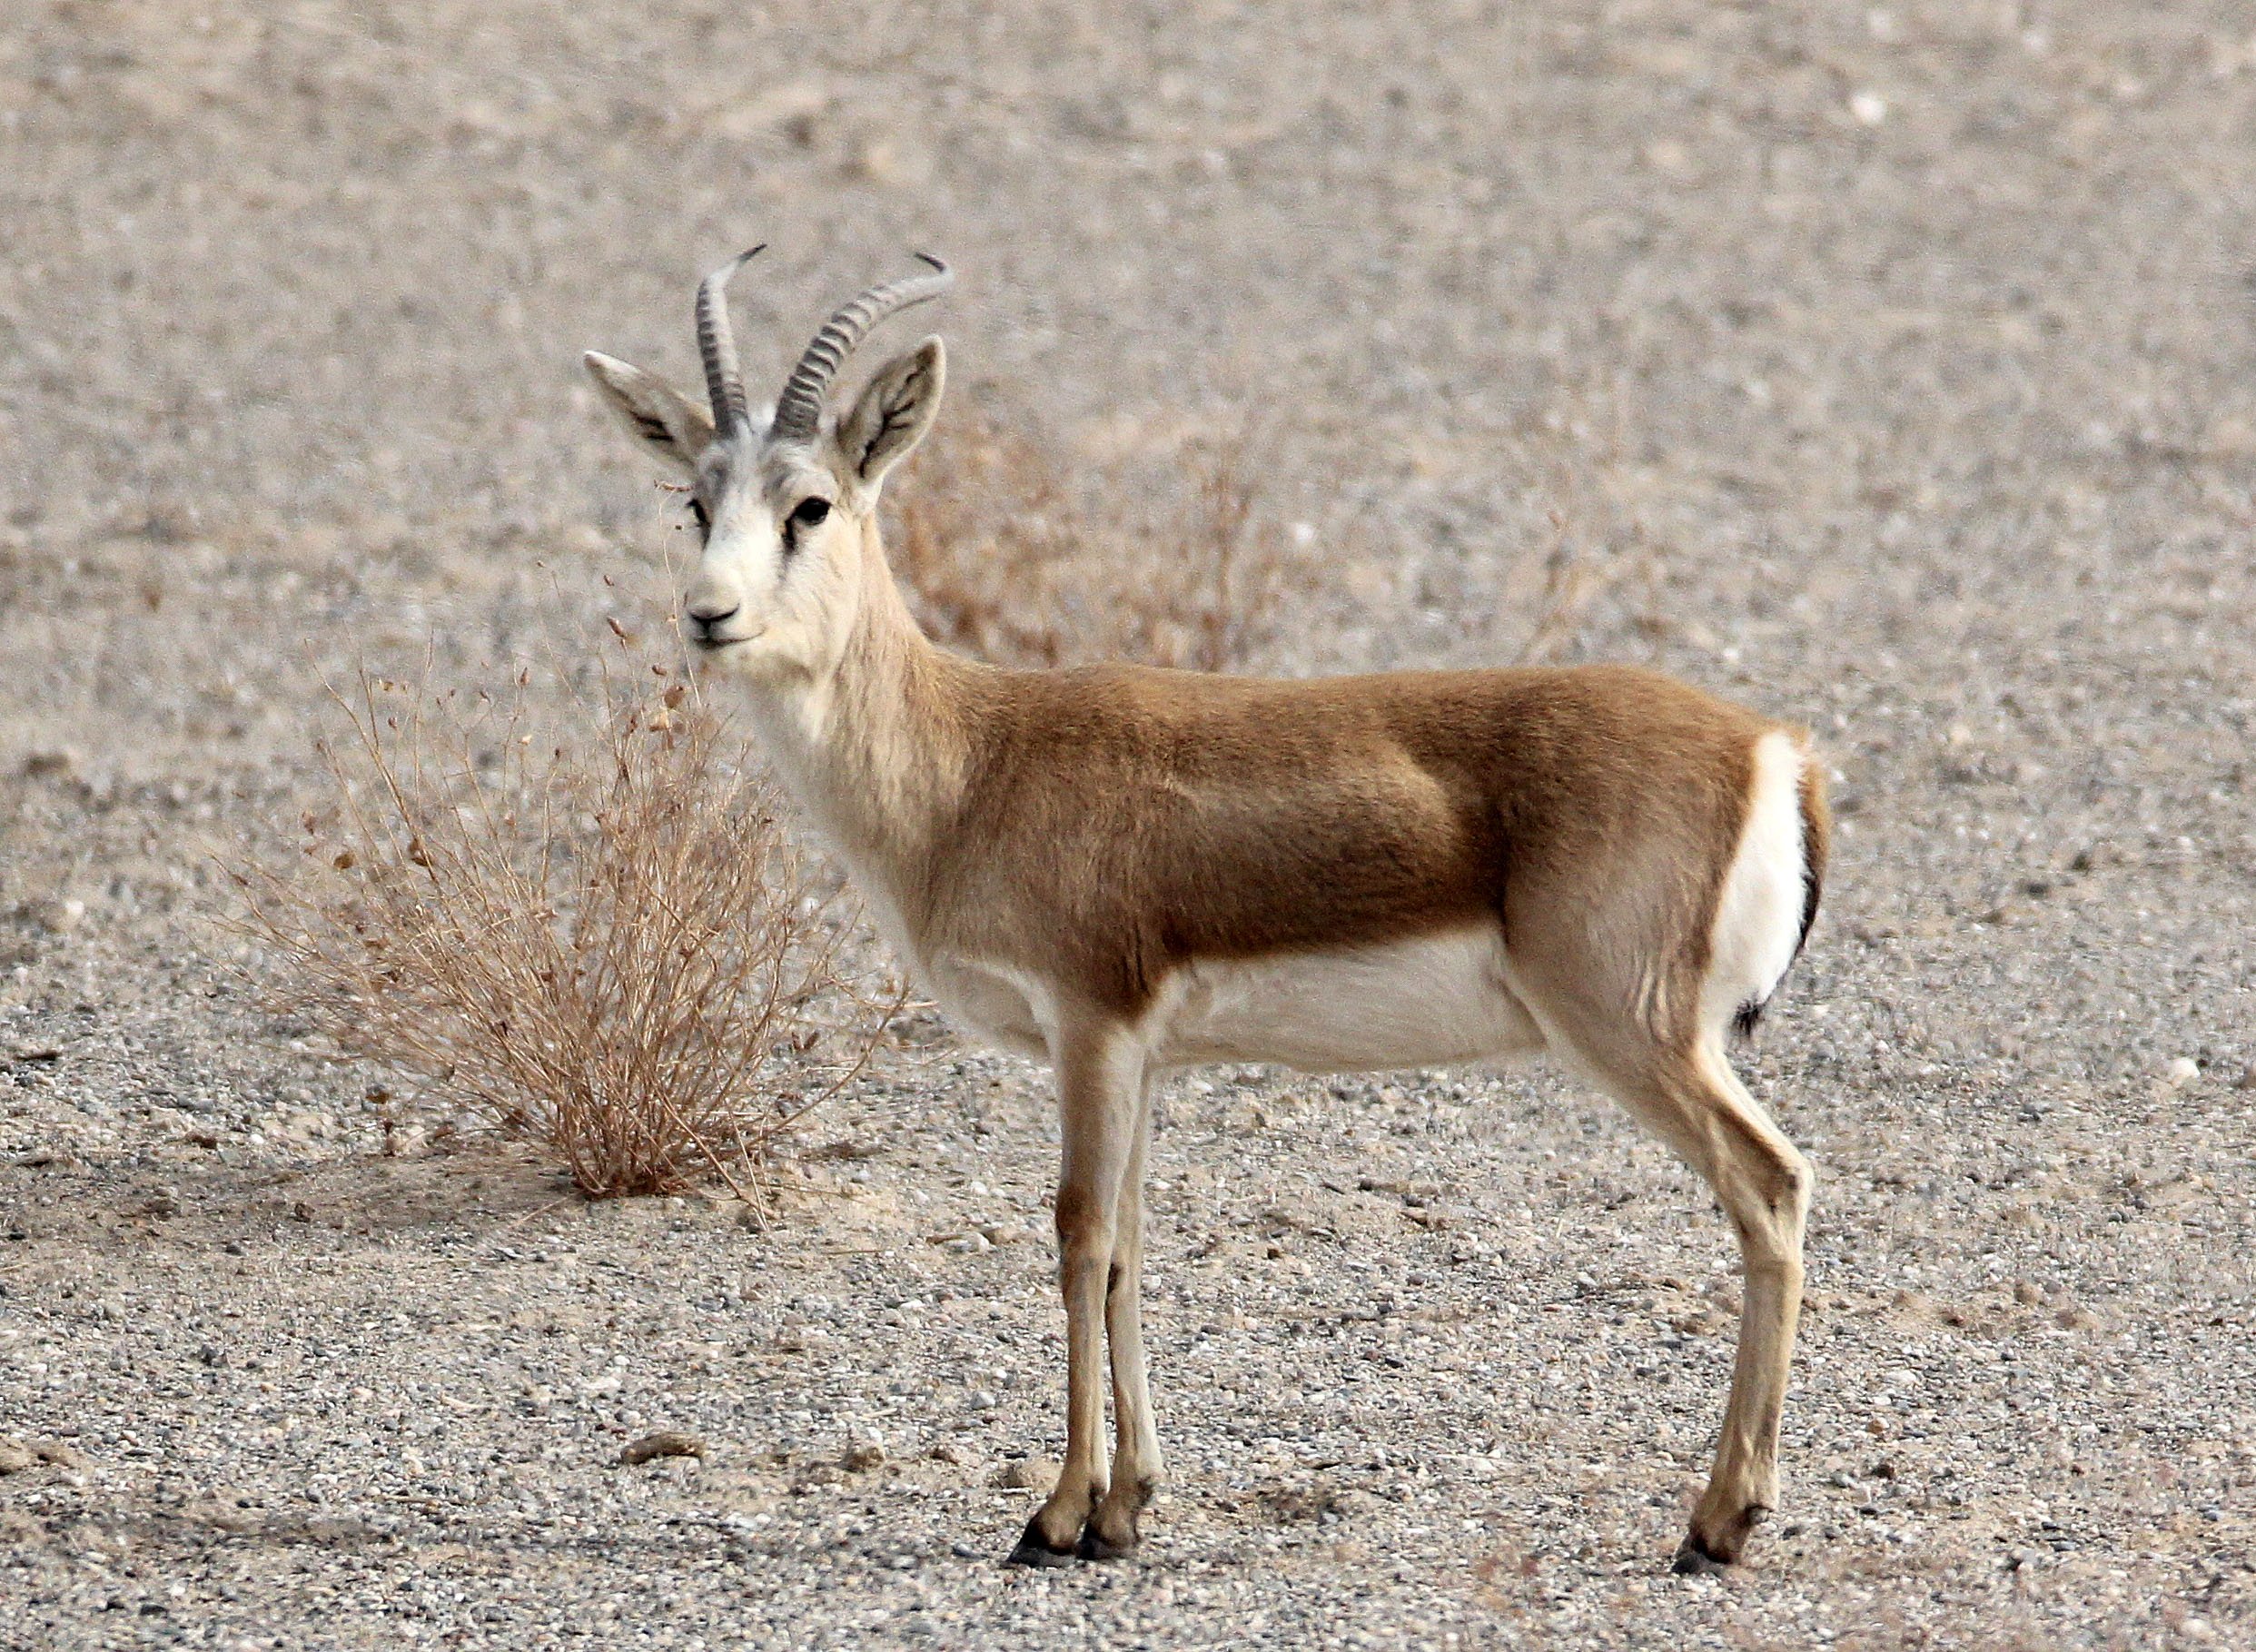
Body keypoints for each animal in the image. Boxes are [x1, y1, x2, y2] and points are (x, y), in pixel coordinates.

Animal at [582, 250, 1830, 1574]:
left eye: (810, 505)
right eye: (695, 501)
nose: (709, 614)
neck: (973, 765)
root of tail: (1774, 749)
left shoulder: (1088, 1023)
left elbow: (1079, 1236)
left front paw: (1056, 1514)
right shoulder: (1143, 1053)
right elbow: (1132, 1246)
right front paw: (1126, 1505)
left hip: (1634, 1031)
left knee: (1771, 1186)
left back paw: (1720, 1518)